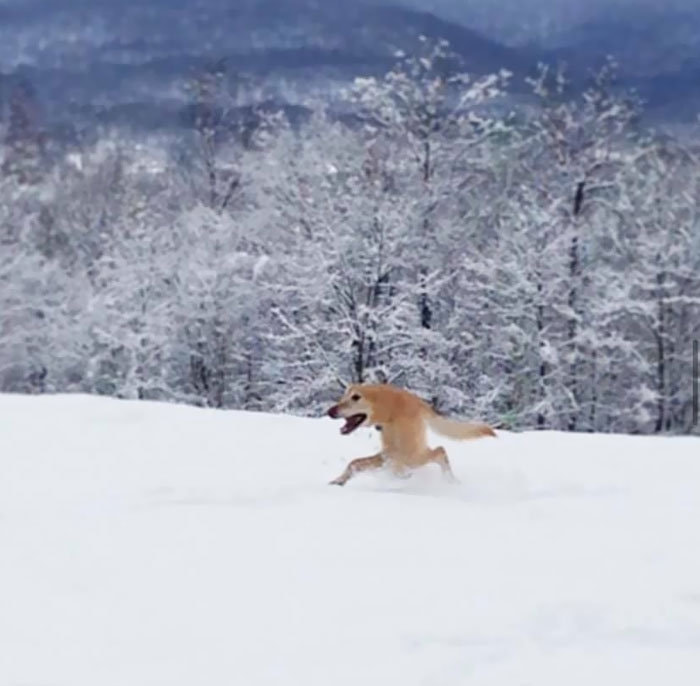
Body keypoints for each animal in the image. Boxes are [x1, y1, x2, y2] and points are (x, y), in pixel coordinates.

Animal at [326, 384, 494, 486]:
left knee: (440, 451)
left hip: (413, 456)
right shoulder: (388, 453)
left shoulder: (398, 455)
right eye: (343, 397)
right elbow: (354, 463)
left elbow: (395, 469)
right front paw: (338, 481)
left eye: (356, 397)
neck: (389, 410)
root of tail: (420, 402)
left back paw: (450, 481)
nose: (329, 411)